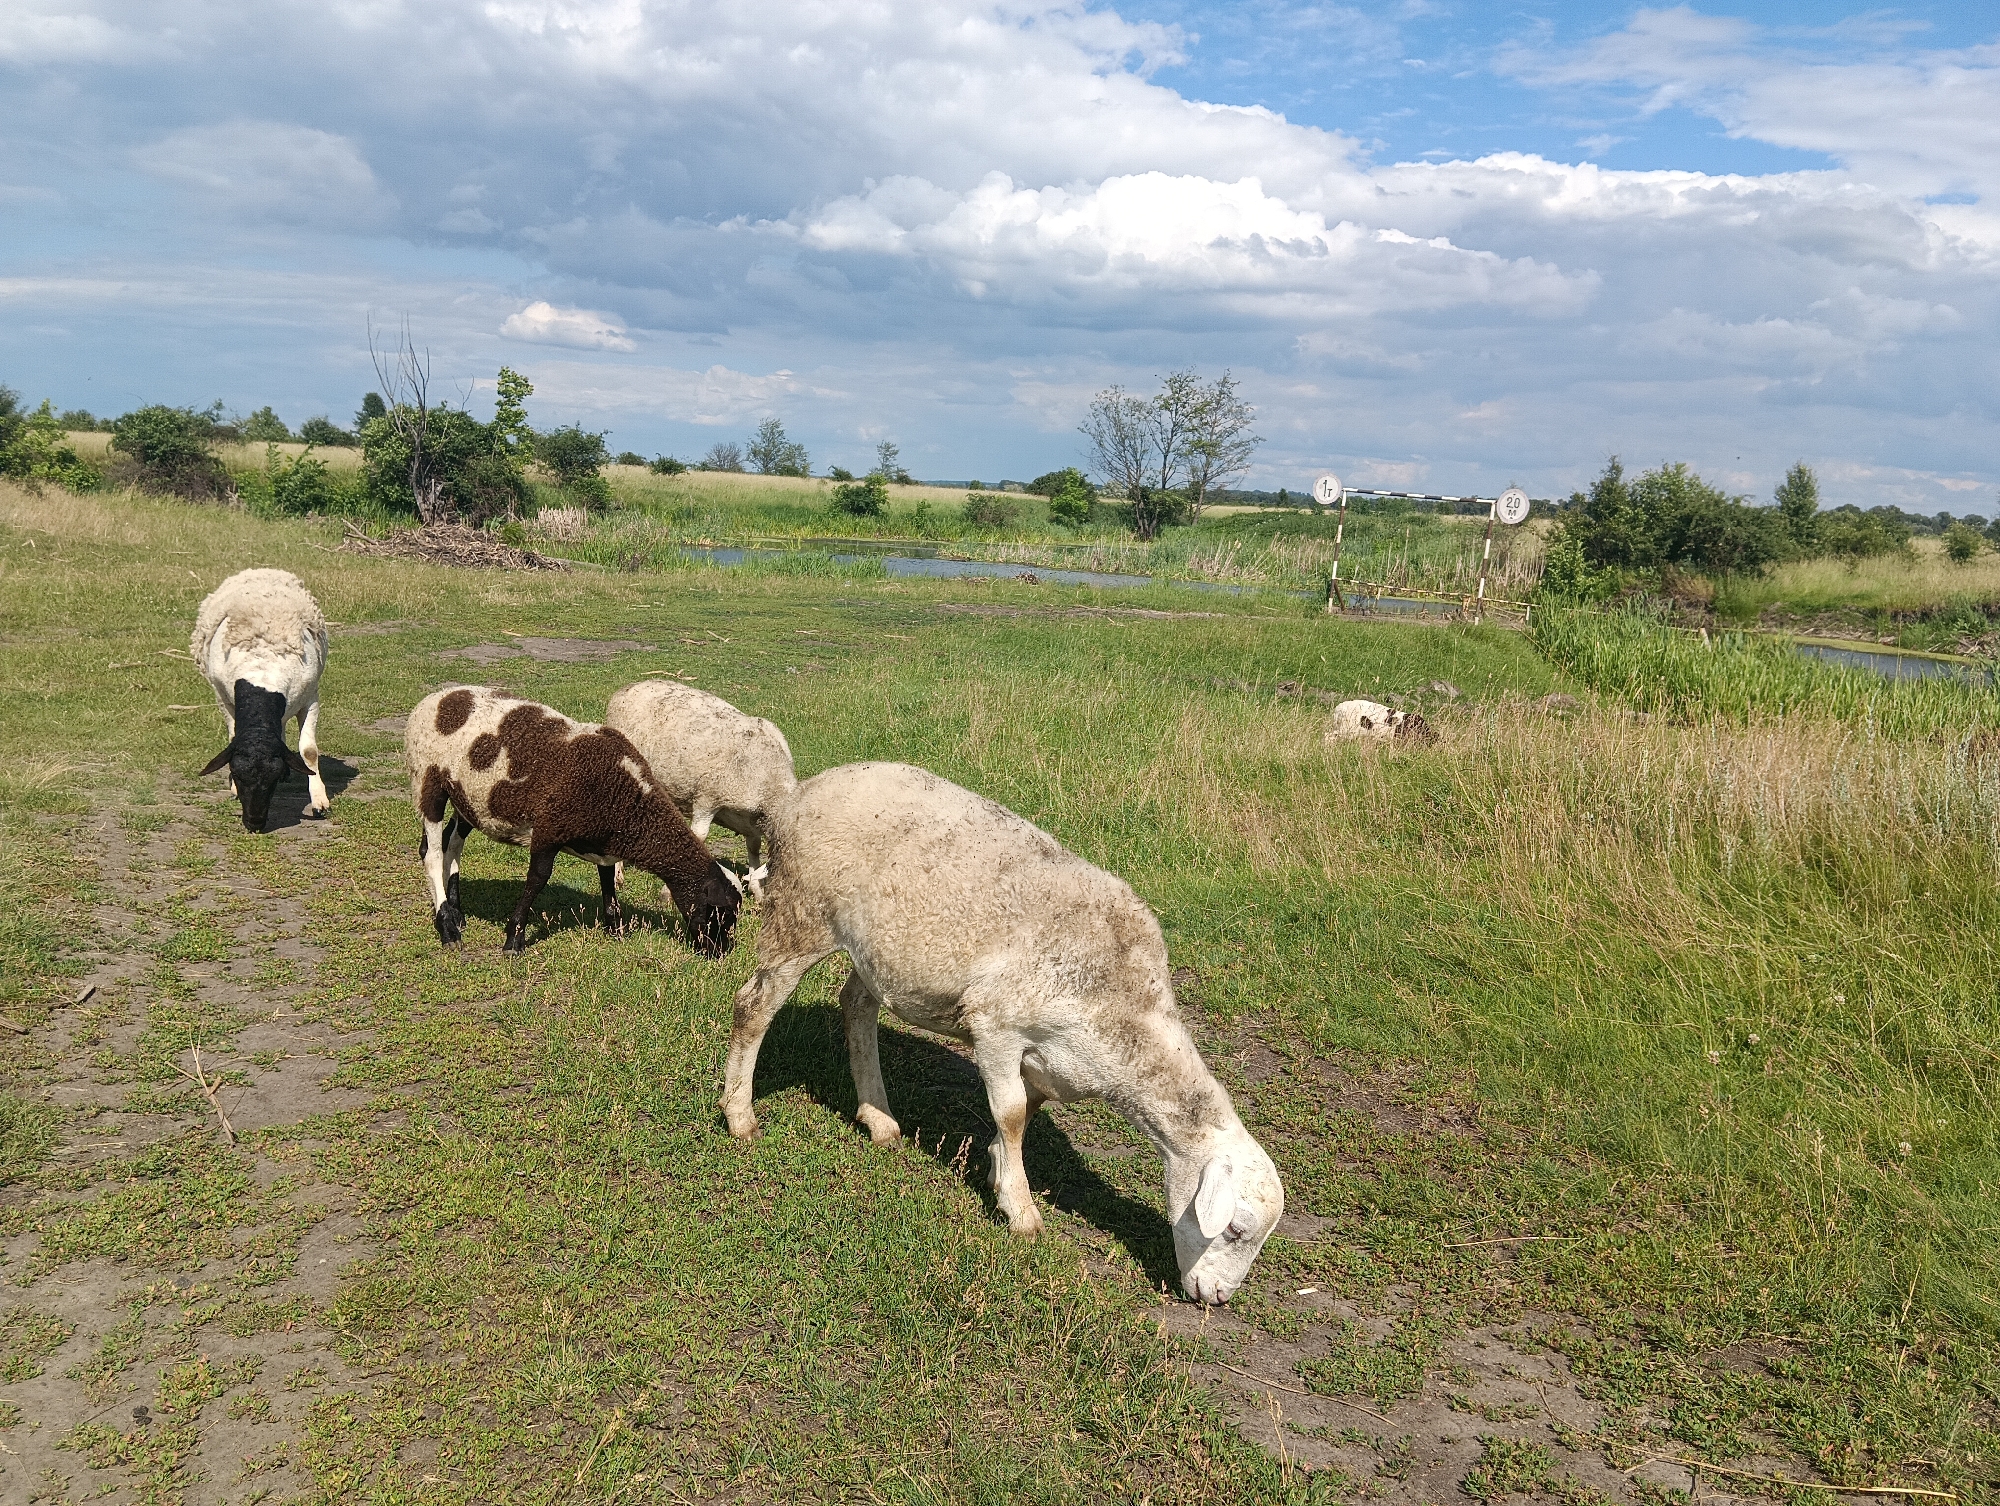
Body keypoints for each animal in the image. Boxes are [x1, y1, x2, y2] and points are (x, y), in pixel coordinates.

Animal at [191, 567, 331, 832]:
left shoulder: (311, 696)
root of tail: (261, 569)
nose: (254, 823)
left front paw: (319, 801)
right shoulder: (224, 698)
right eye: (236, 774)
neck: (261, 677)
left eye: (272, 781)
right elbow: (233, 737)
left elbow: (309, 752)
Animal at [403, 685, 742, 956]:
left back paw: (456, 913)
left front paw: (616, 929)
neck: (627, 802)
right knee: (432, 853)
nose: (718, 953)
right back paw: (448, 929)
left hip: (469, 798)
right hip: (427, 781)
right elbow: (537, 880)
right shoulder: (549, 829)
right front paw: (514, 939)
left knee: (452, 843)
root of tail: (435, 699)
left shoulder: (603, 841)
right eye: (718, 913)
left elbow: (607, 879)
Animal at [603, 680, 795, 893]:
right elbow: (700, 836)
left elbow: (754, 846)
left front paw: (757, 889)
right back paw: (617, 874)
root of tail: (628, 688)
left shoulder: (752, 819)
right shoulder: (707, 798)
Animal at [720, 761, 1285, 1305]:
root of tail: (802, 793)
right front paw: (1020, 1210)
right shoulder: (996, 1024)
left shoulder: (1052, 1060)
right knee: (753, 1007)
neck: (1126, 1019)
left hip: (877, 948)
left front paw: (997, 1170)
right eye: (1234, 1230)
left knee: (857, 1006)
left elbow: (1026, 1111)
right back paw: (740, 1115)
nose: (1218, 1297)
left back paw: (878, 1117)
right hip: (802, 911)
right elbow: (1011, 1113)